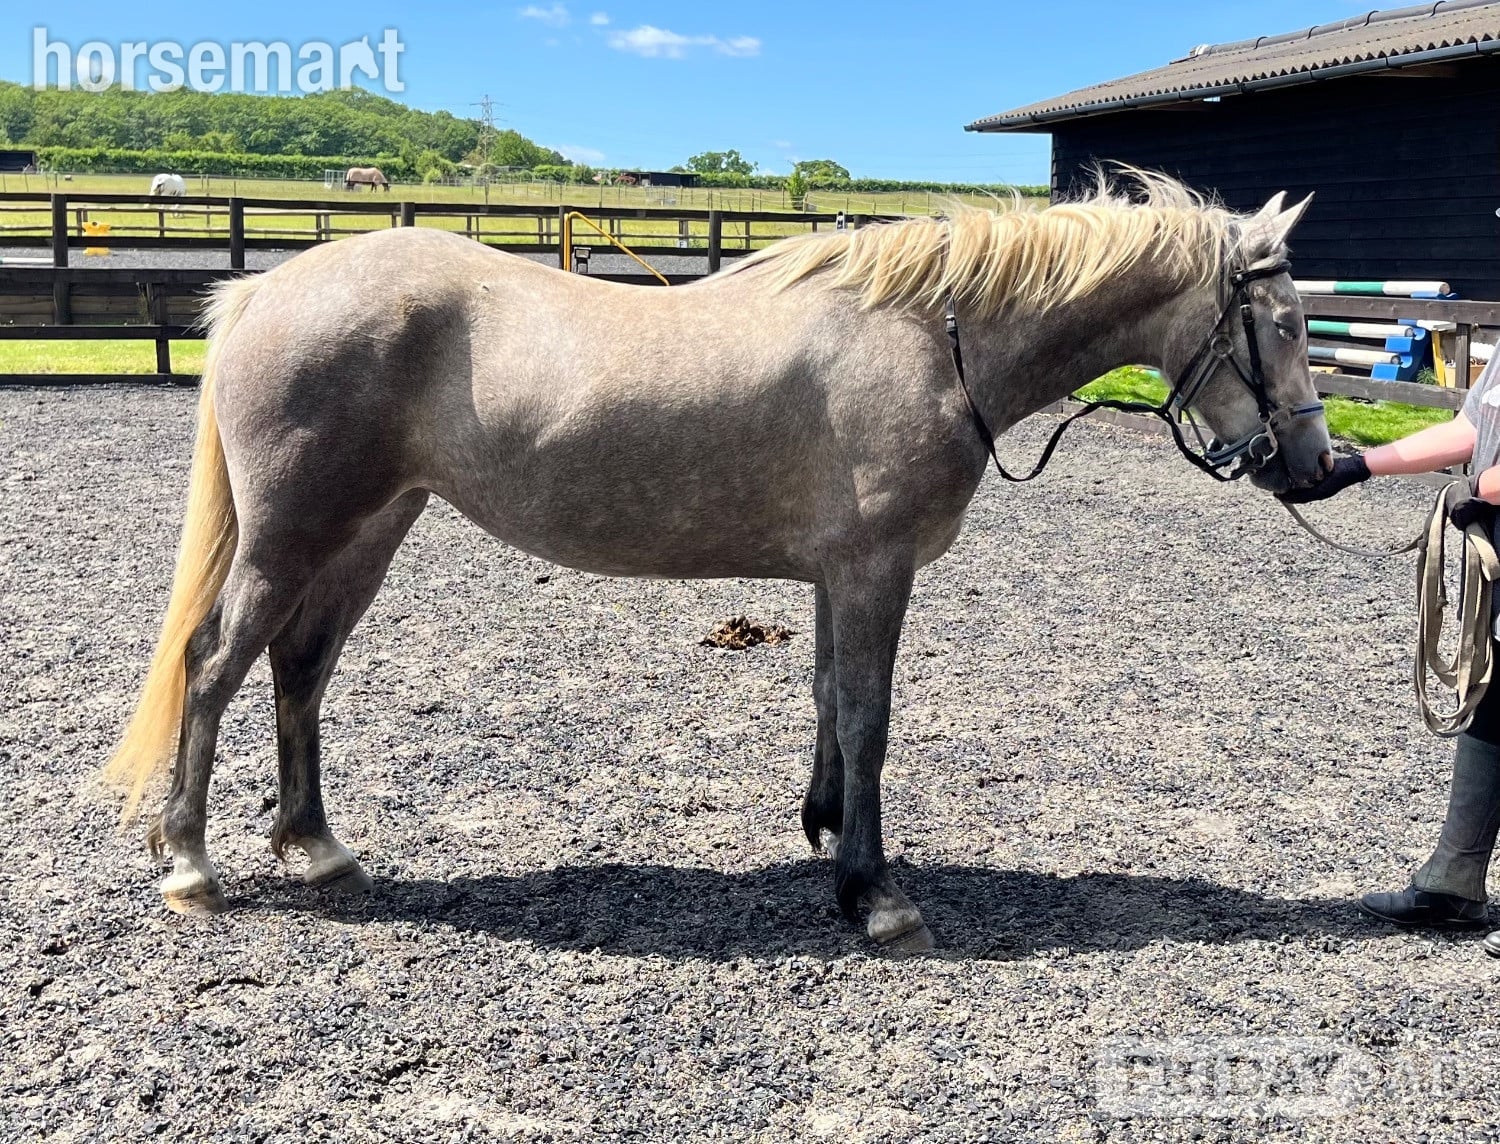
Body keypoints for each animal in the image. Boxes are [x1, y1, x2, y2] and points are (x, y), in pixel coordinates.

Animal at [106, 175, 1331, 951]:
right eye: (1283, 323)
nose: (1321, 466)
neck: (929, 339)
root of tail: (265, 287)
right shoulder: (878, 568)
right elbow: (869, 717)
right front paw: (876, 895)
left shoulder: (840, 575)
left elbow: (832, 704)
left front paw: (828, 834)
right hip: (292, 535)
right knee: (213, 668)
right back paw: (191, 865)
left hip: (369, 529)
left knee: (299, 671)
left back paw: (315, 847)